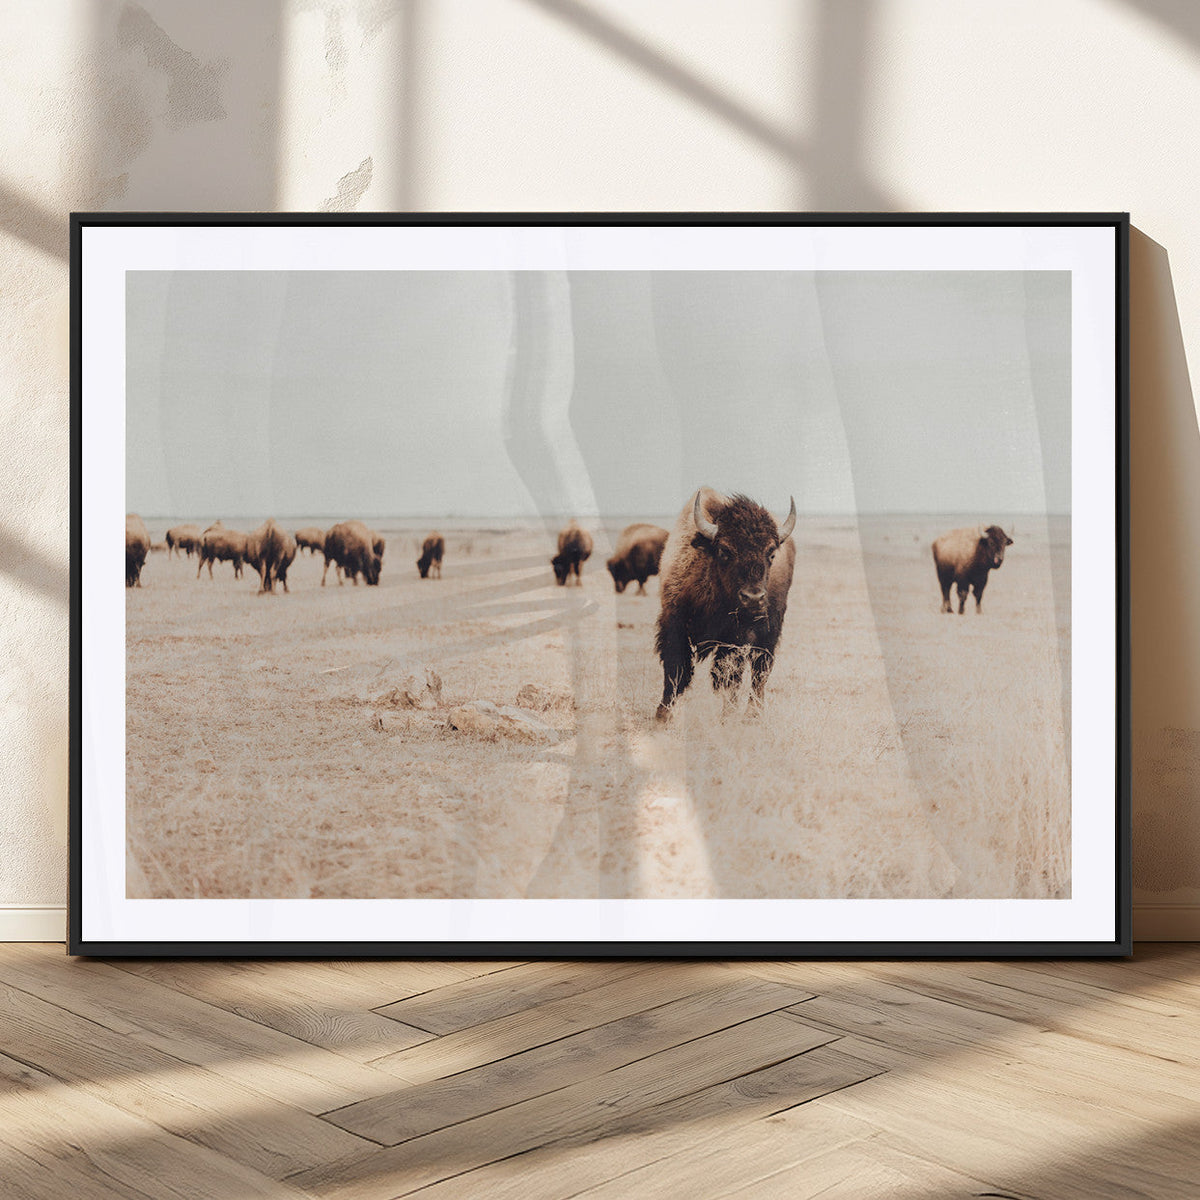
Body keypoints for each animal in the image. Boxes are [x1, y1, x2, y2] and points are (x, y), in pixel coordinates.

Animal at [655, 487, 796, 721]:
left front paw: (727, 716)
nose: (754, 598)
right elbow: (675, 670)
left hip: (770, 631)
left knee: (760, 671)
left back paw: (753, 714)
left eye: (771, 553)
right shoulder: (674, 624)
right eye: (725, 551)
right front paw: (663, 715)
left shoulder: (735, 638)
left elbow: (729, 676)